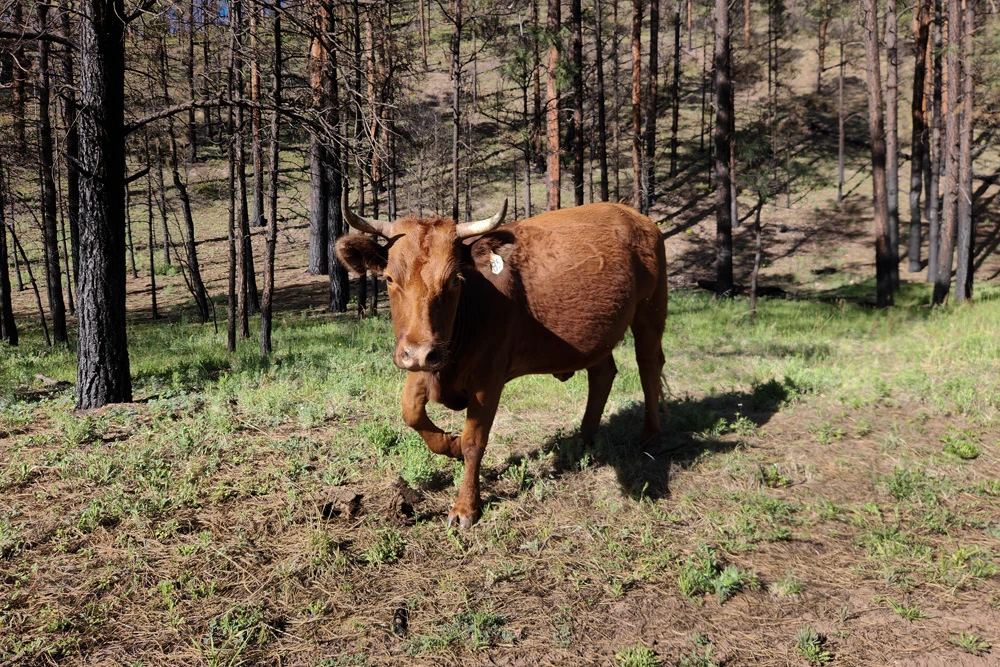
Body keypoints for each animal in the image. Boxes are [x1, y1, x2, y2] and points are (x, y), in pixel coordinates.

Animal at [338, 196, 672, 528]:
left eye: (455, 280)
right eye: (389, 278)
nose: (419, 353)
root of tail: (633, 214)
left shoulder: (486, 378)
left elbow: (474, 440)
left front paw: (465, 507)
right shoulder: (429, 361)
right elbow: (411, 412)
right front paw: (451, 444)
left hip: (650, 310)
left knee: (648, 367)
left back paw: (651, 436)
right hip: (596, 334)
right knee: (602, 373)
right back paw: (582, 439)